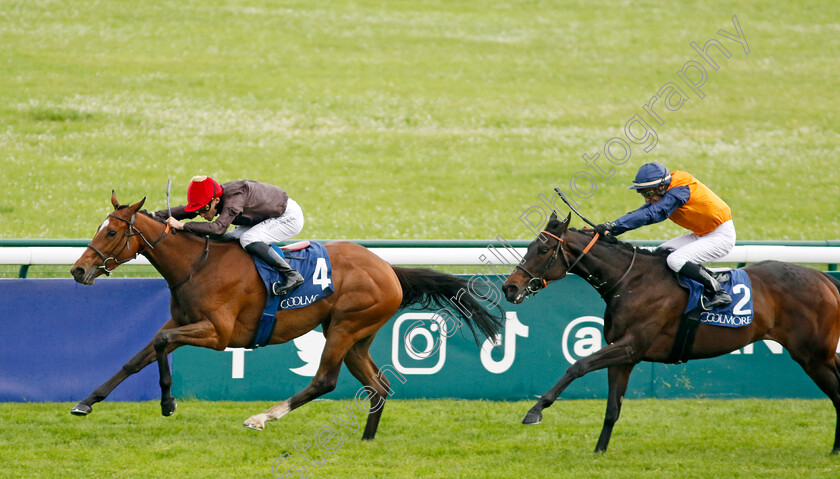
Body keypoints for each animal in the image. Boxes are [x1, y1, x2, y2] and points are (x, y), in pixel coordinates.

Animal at [69, 194, 502, 438]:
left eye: (111, 233)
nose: (78, 270)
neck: (197, 264)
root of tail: (388, 269)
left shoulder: (217, 334)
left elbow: (159, 345)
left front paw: (167, 402)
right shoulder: (180, 322)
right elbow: (137, 357)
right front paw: (86, 403)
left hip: (344, 327)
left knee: (325, 381)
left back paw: (263, 417)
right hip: (357, 336)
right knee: (379, 386)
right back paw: (366, 440)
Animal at [502, 213, 836, 454]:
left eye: (543, 249)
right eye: (528, 247)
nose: (510, 288)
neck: (631, 281)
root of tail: (824, 279)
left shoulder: (632, 346)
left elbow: (578, 365)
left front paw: (535, 410)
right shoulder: (623, 355)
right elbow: (612, 408)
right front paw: (599, 451)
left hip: (813, 356)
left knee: (837, 393)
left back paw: (834, 451)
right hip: (822, 355)